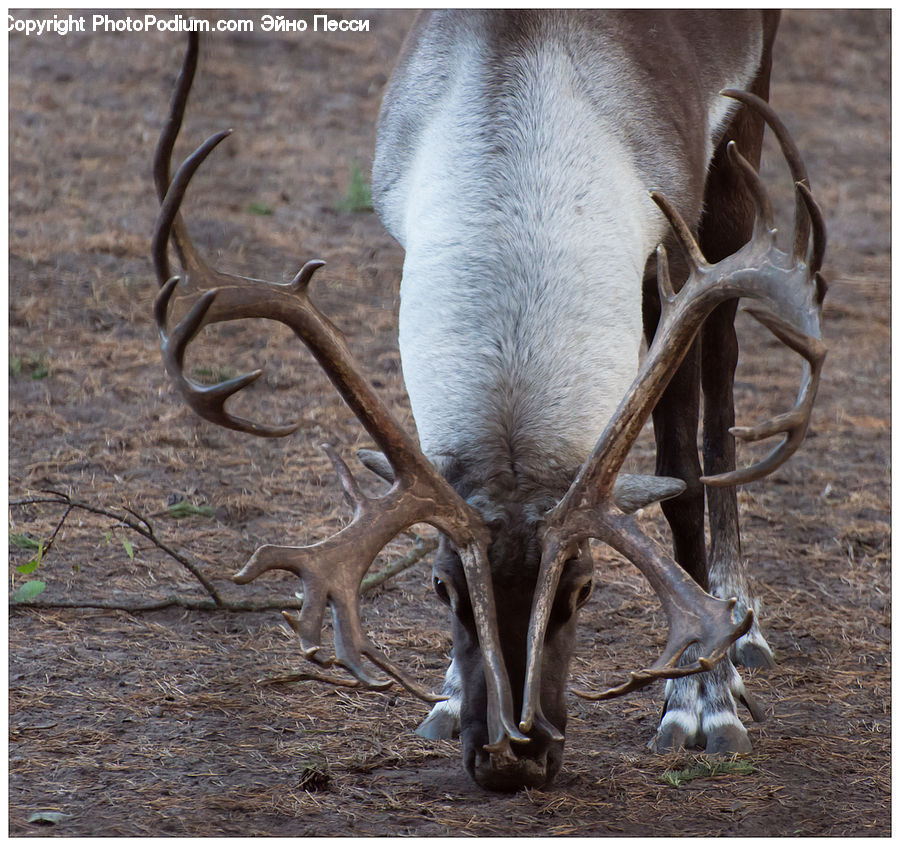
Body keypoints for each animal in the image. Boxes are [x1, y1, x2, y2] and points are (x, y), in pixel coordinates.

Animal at [152, 12, 825, 792]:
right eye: (442, 589)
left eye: (583, 588)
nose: (512, 759)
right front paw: (445, 695)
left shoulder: (677, 234)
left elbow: (681, 479)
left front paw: (701, 702)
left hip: (742, 142)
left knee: (722, 390)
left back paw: (742, 621)